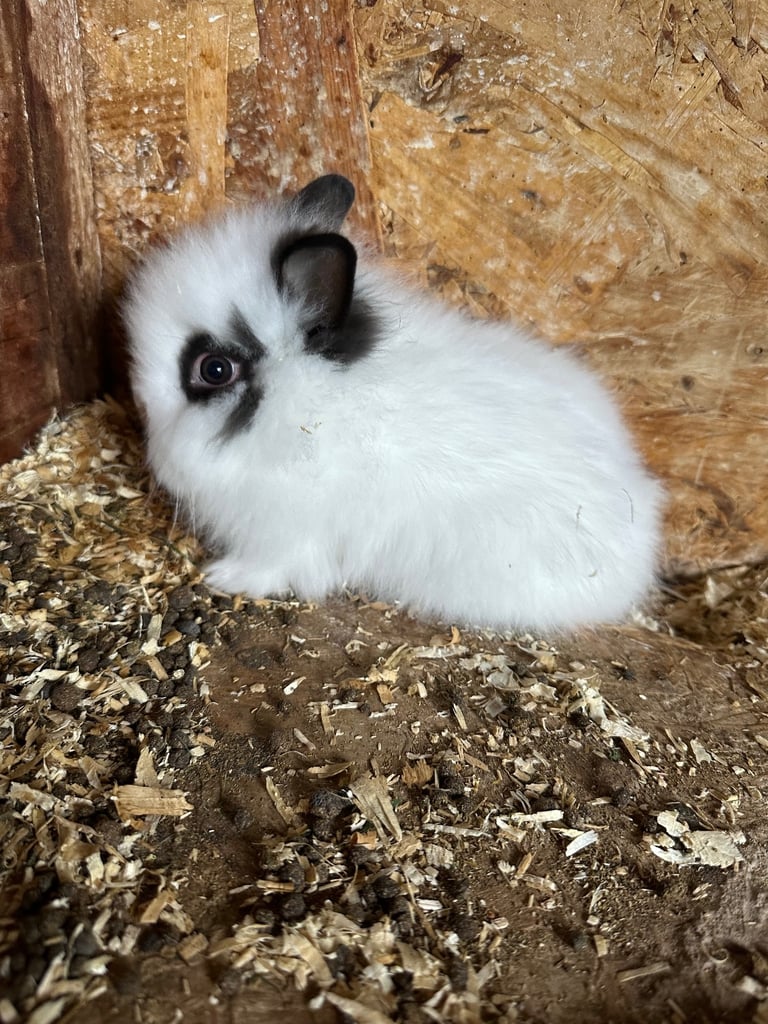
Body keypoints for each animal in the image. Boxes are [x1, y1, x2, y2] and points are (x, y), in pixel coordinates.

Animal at [124, 173, 663, 632]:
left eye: (213, 370)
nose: (143, 413)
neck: (305, 408)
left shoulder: (286, 534)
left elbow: (270, 568)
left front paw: (222, 576)